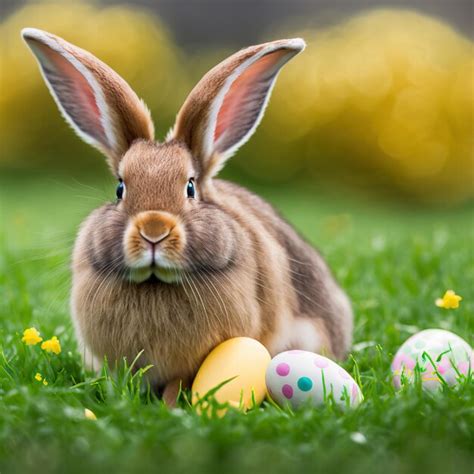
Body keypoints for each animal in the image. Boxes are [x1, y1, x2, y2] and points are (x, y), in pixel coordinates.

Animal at [23, 27, 352, 402]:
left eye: (190, 187)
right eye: (120, 188)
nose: (153, 230)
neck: (156, 283)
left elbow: (179, 382)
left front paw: (170, 406)